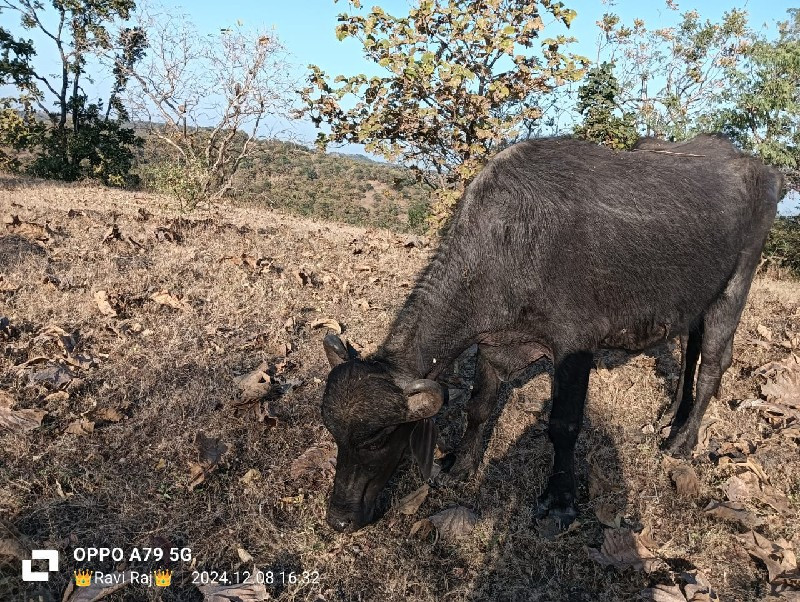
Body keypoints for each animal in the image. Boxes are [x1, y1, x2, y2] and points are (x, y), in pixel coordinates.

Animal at [318, 135, 780, 528]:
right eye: (335, 435)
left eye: (377, 440)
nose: (339, 518)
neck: (512, 242)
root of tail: (762, 170)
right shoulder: (494, 342)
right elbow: (479, 407)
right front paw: (462, 465)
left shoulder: (575, 347)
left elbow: (564, 425)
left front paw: (560, 501)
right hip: (690, 302)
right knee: (688, 355)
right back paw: (670, 417)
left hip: (734, 286)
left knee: (713, 365)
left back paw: (681, 441)